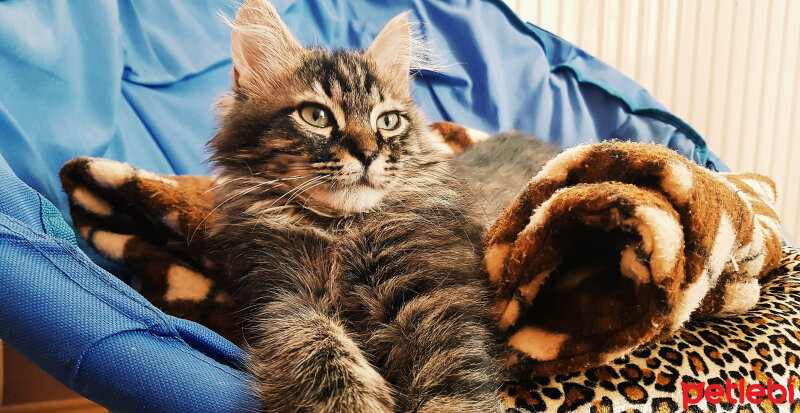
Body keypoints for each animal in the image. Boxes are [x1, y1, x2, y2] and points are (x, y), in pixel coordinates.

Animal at [208, 1, 556, 410]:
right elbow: (321, 356)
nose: (368, 153)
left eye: (388, 121)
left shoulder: (437, 300)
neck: (341, 229)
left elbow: (452, 390)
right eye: (316, 116)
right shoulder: (283, 299)